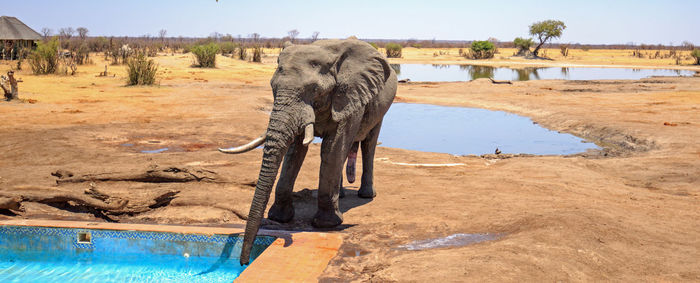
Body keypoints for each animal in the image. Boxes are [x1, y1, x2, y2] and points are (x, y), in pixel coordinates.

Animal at [219, 38, 394, 266]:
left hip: (380, 106)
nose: (244, 262)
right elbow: (296, 150)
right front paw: (279, 218)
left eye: (314, 90)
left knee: (368, 144)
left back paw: (366, 195)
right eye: (273, 87)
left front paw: (327, 224)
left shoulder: (350, 96)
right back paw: (342, 195)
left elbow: (332, 148)